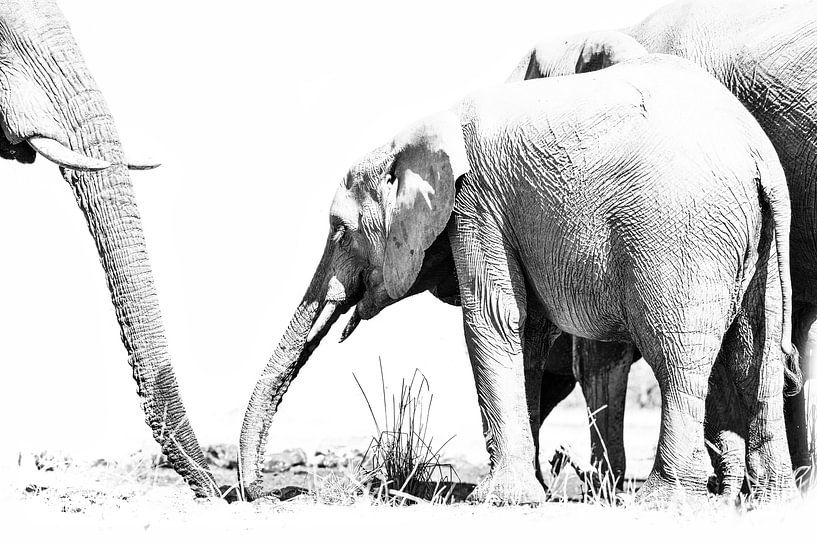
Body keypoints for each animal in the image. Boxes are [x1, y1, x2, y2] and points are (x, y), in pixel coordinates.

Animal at [238, 52, 797, 504]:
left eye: (339, 232)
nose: (262, 491)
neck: (421, 131)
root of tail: (758, 157)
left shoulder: (476, 203)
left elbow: (492, 319)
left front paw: (499, 500)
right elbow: (525, 334)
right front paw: (532, 492)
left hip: (679, 234)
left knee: (676, 356)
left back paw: (664, 500)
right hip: (762, 241)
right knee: (757, 357)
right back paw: (769, 500)